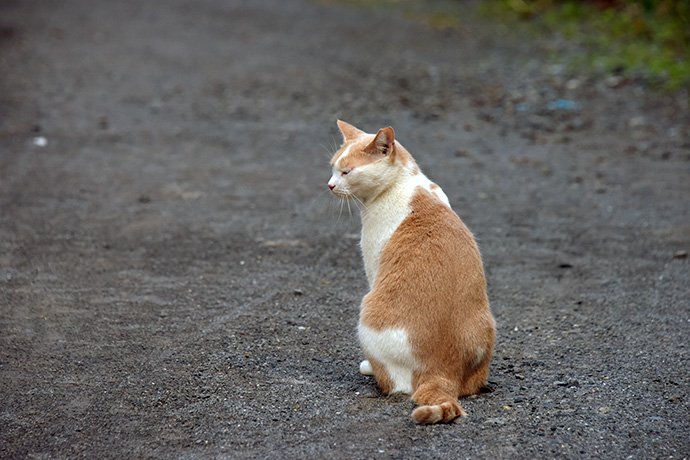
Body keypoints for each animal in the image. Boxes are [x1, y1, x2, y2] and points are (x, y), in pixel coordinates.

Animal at [328, 119, 494, 424]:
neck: (406, 181)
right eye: (333, 167)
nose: (330, 184)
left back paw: (370, 368)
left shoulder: (374, 266)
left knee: (397, 384)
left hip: (369, 313)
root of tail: (443, 371)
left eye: (347, 171)